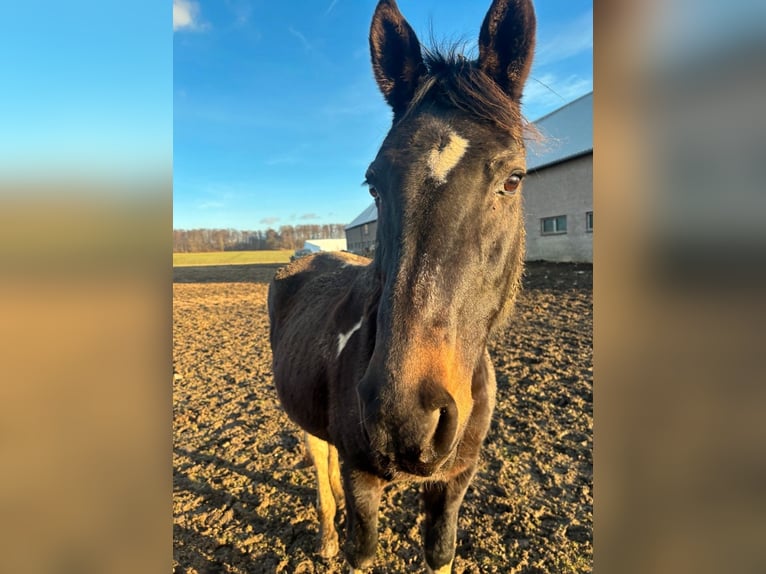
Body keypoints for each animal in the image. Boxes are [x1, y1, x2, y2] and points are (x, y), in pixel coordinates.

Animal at [267, 0, 535, 571]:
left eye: (514, 178)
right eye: (373, 183)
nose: (405, 418)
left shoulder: (454, 483)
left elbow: (441, 550)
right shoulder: (363, 479)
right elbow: (361, 542)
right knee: (321, 466)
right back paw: (326, 536)